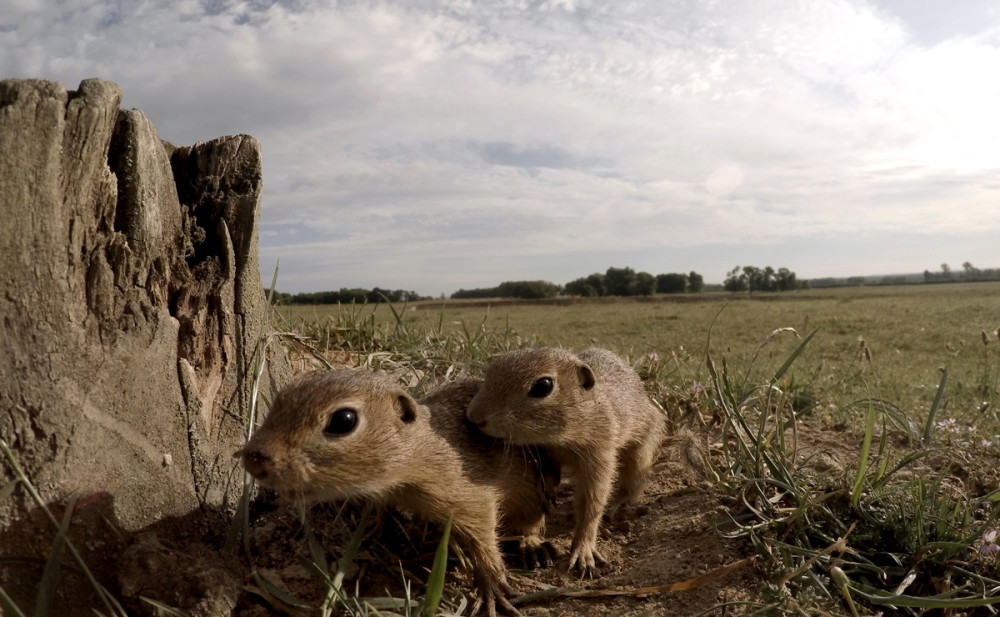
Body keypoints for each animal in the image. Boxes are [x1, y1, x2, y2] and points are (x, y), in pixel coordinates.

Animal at [239, 368, 560, 612]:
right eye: (282, 397)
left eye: (344, 420)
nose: (253, 458)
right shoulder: (385, 492)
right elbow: (384, 509)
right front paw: (377, 531)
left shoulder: (469, 496)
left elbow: (484, 538)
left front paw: (491, 588)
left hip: (533, 491)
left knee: (532, 520)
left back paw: (533, 546)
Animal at [466, 348, 664, 576]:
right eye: (492, 368)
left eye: (543, 386)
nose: (473, 417)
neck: (559, 440)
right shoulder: (540, 453)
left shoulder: (600, 455)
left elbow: (592, 503)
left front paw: (583, 553)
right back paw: (531, 545)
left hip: (642, 450)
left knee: (634, 484)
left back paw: (618, 503)